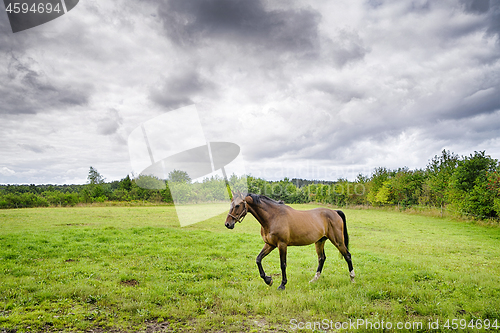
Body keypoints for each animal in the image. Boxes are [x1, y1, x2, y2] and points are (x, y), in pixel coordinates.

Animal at [225, 191, 354, 290]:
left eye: (237, 205)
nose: (227, 224)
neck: (273, 216)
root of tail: (335, 212)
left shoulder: (282, 245)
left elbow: (283, 264)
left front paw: (282, 285)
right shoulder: (270, 244)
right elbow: (258, 259)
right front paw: (268, 280)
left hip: (338, 241)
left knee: (347, 255)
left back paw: (352, 279)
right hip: (320, 241)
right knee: (321, 258)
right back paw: (314, 279)